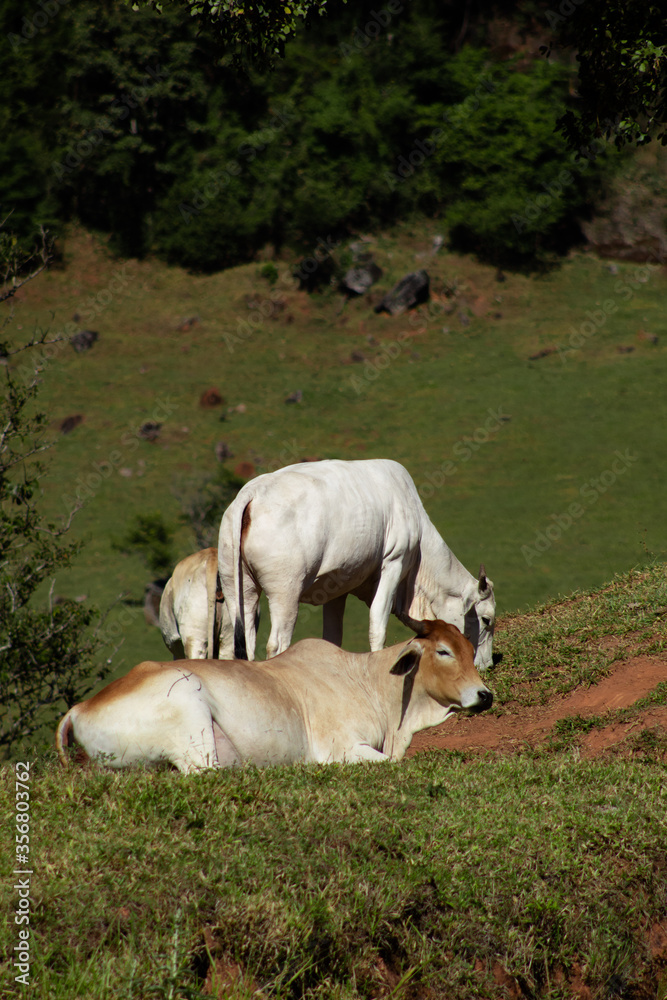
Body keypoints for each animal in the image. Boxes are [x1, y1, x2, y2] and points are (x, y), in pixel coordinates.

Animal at [55, 619, 492, 773]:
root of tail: (79, 708)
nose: (484, 695)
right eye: (443, 651)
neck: (367, 680)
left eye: (470, 649)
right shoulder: (343, 749)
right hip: (189, 706)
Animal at [217, 458, 495, 668]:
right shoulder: (394, 562)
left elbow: (332, 636)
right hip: (286, 593)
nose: (487, 664)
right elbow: (378, 624)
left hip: (237, 589)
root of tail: (254, 491)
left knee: (243, 643)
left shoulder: (336, 587)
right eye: (486, 620)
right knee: (277, 643)